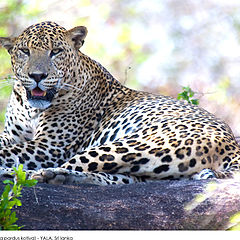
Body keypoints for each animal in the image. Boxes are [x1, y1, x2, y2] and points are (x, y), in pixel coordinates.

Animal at [0, 21, 239, 186]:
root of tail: (233, 146)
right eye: (25, 51)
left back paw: (38, 174)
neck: (29, 108)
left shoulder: (50, 146)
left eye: (56, 52)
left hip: (136, 144)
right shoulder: (11, 135)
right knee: (118, 177)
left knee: (67, 166)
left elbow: (6, 153)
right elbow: (5, 145)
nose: (37, 75)